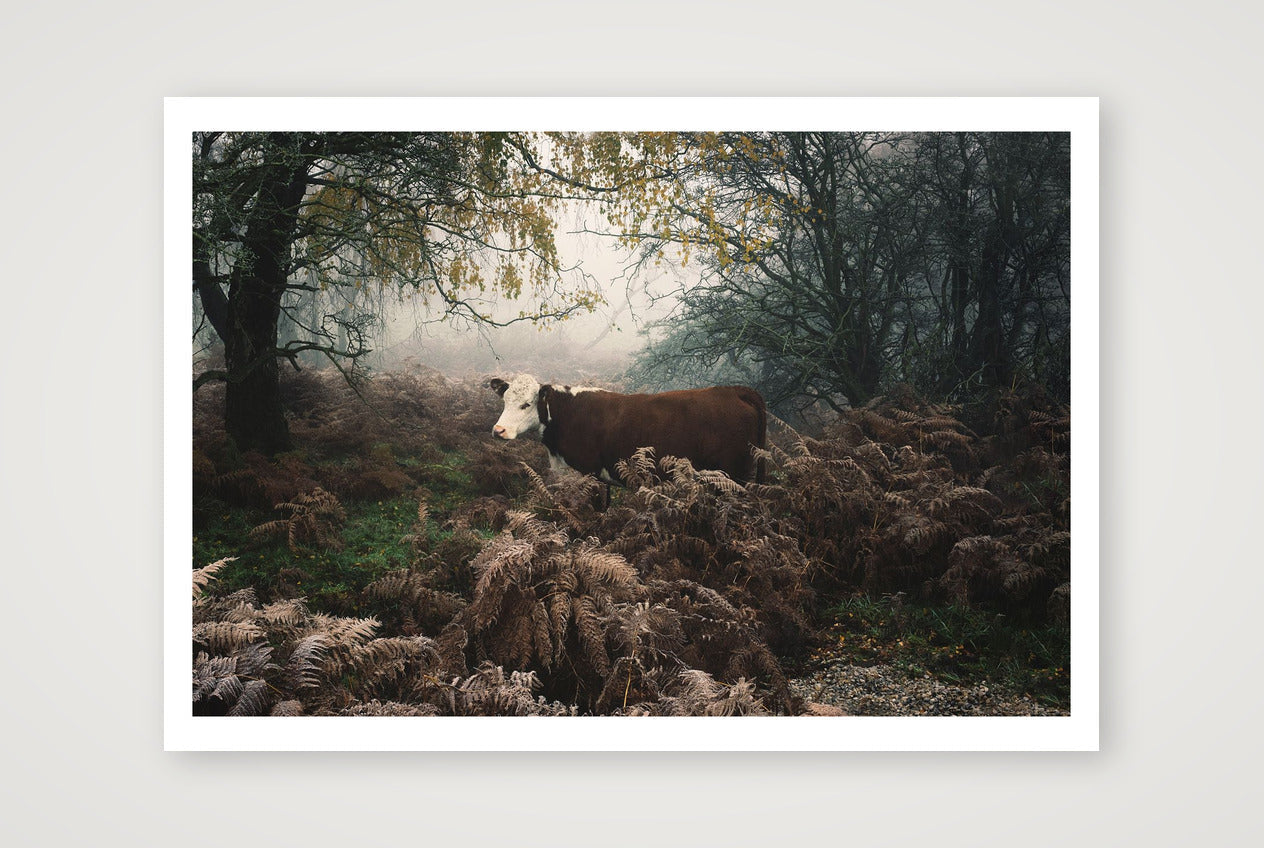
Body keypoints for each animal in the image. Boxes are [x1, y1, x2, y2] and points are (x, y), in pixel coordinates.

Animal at [487, 374, 767, 487]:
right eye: (505, 401)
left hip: (733, 473)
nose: (499, 430)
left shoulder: (591, 471)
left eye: (526, 404)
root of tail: (734, 390)